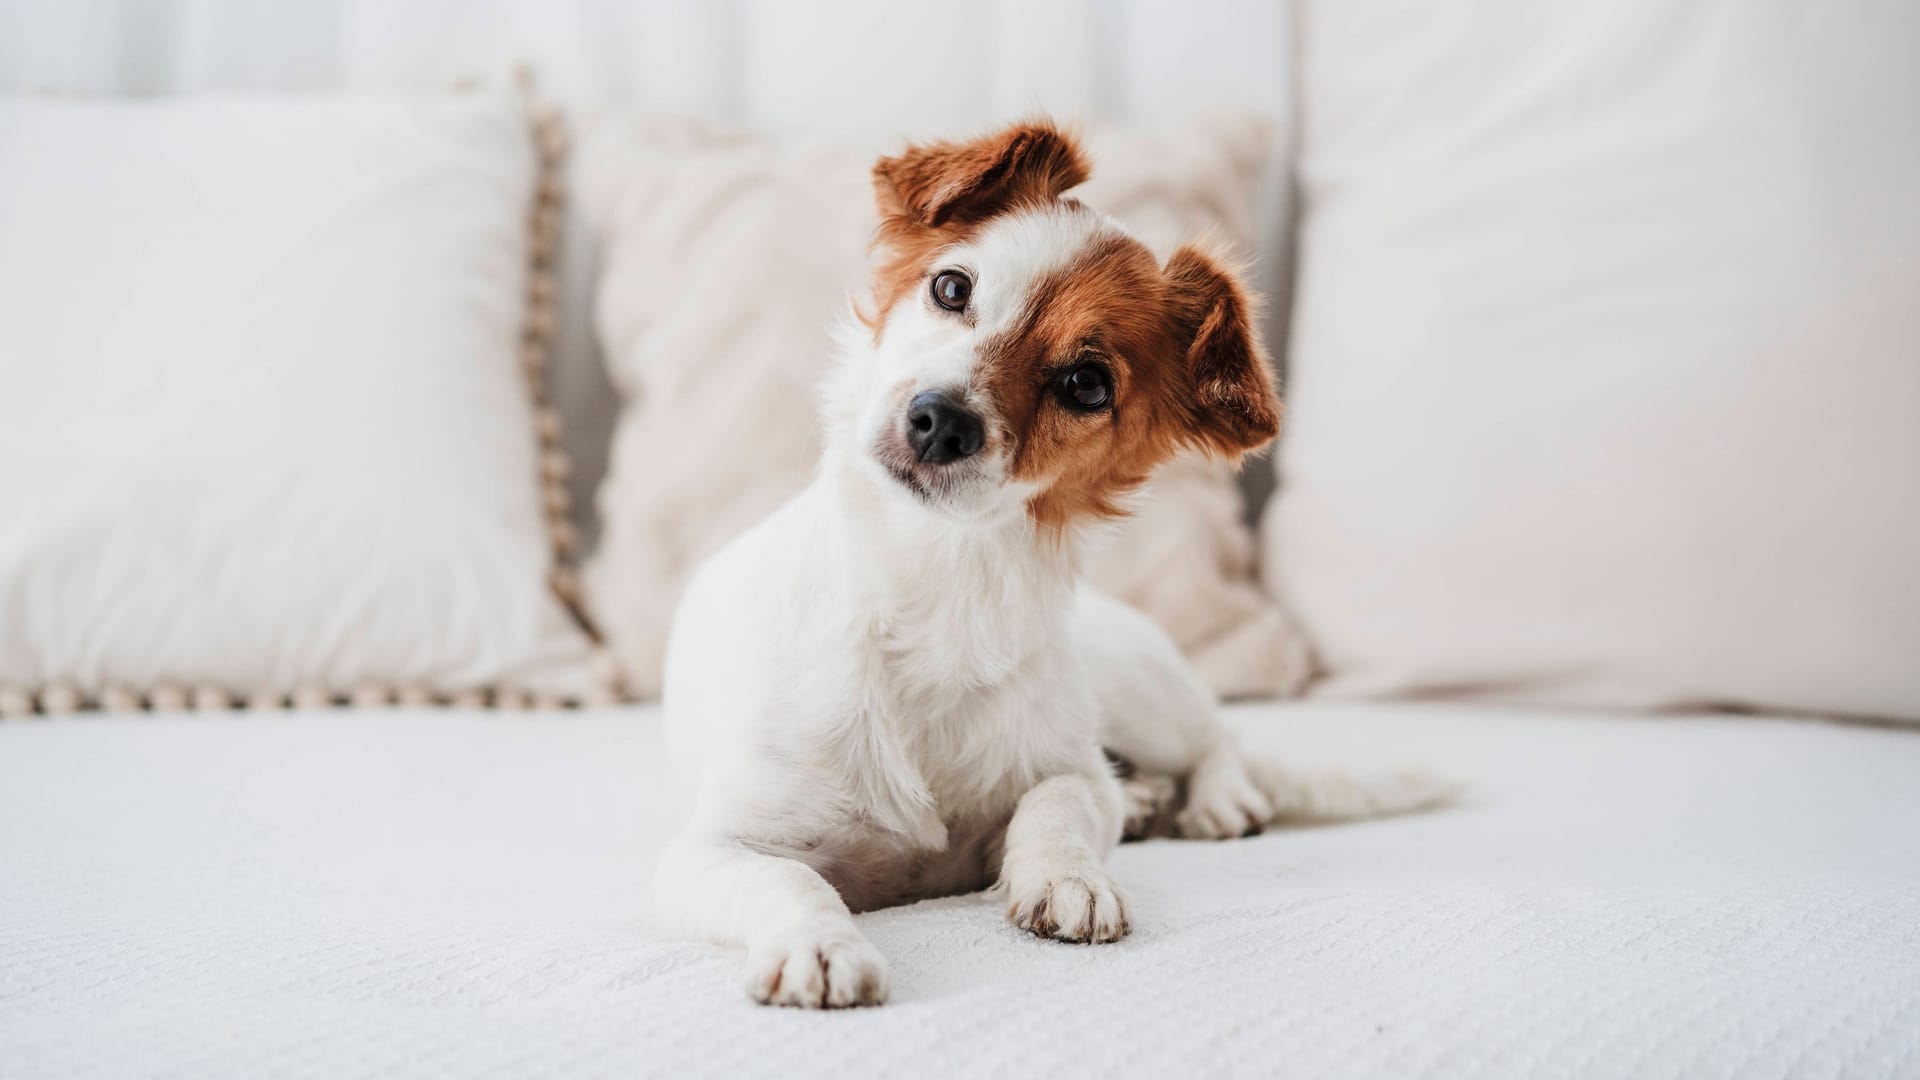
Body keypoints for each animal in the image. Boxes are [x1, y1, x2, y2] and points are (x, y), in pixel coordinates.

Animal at [652, 122, 1443, 1006]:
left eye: (1087, 384)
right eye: (951, 288)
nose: (939, 421)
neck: (940, 589)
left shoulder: (1072, 769)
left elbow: (1056, 802)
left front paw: (1069, 877)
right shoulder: (710, 848)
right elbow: (790, 879)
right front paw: (818, 944)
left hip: (1141, 692)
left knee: (1218, 737)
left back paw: (1216, 799)